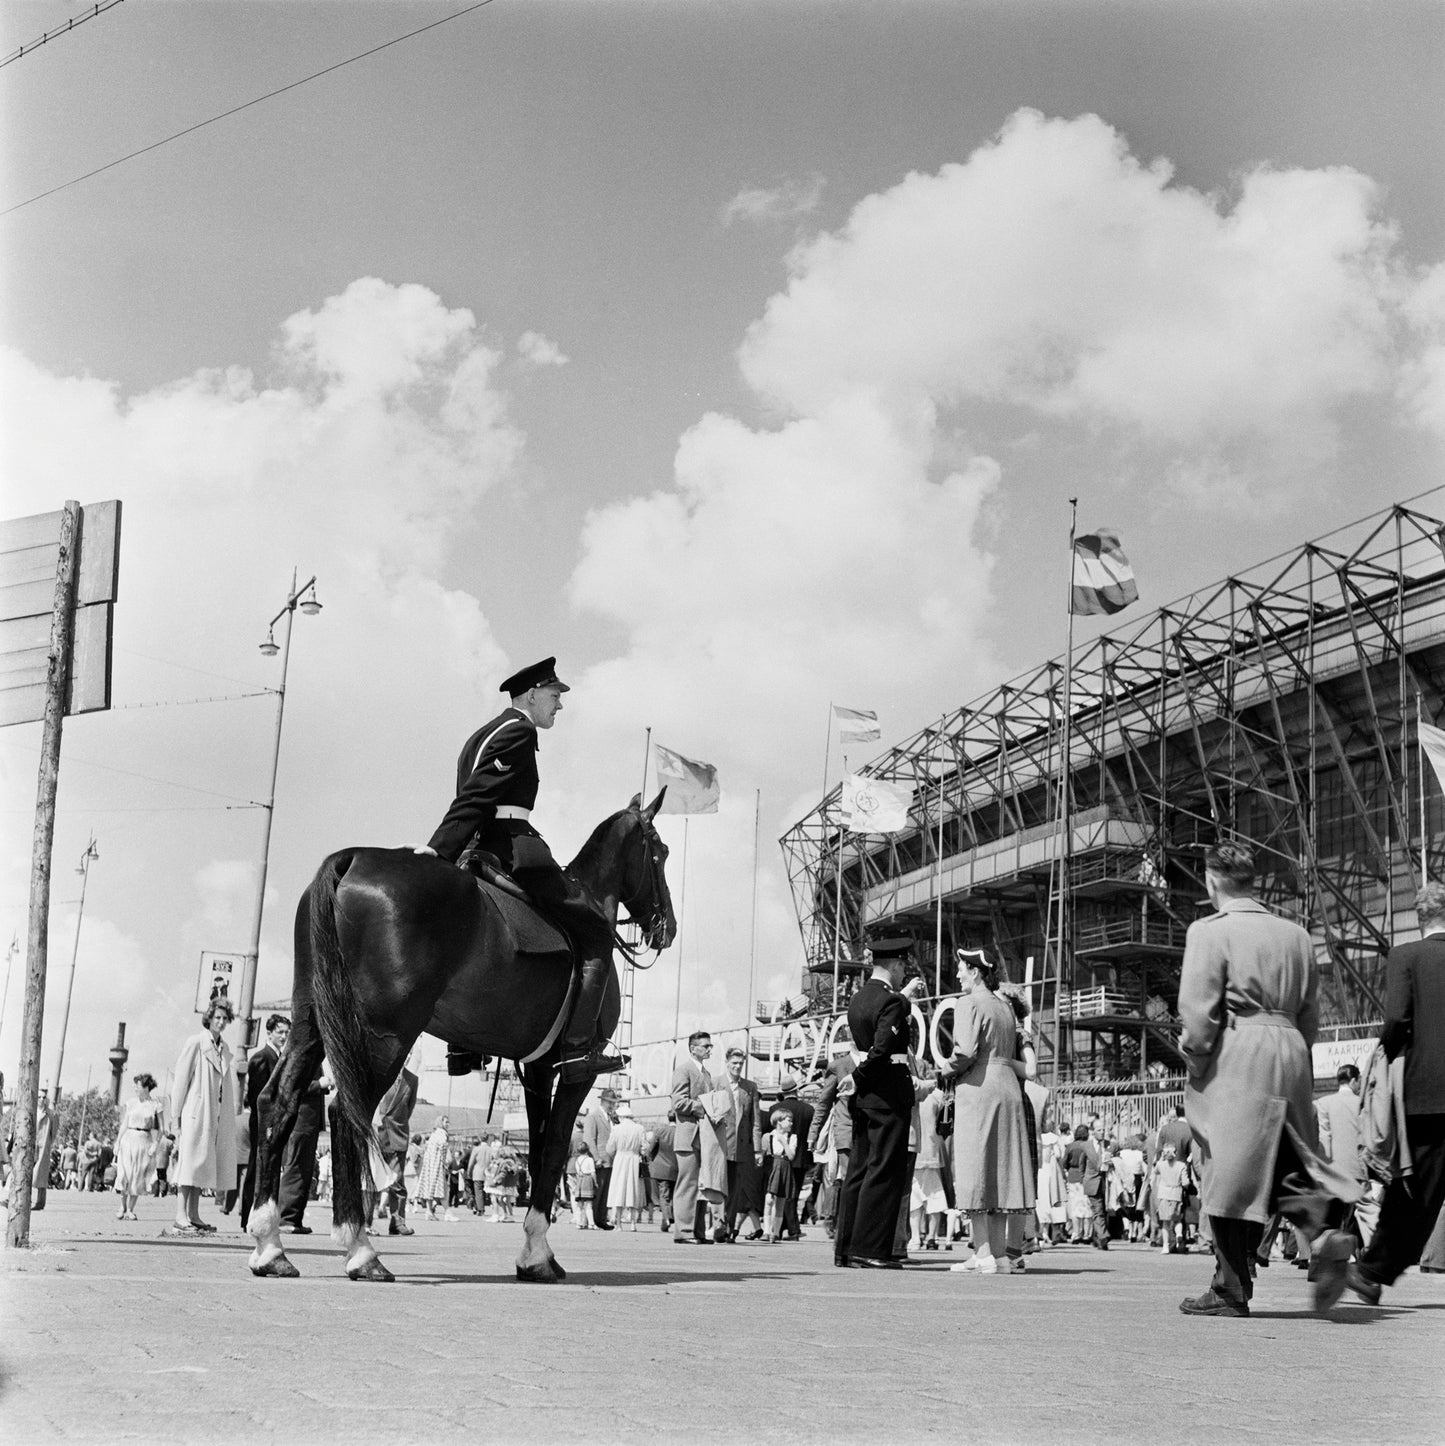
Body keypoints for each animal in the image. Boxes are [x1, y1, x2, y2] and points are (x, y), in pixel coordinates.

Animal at [248, 798, 676, 1284]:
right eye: (661, 852)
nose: (667, 927)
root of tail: (351, 858)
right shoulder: (572, 1073)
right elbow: (552, 1152)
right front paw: (538, 1254)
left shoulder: (537, 1068)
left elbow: (538, 1147)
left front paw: (534, 1253)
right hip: (386, 1034)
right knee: (345, 1112)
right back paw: (360, 1250)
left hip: (313, 1020)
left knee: (277, 1101)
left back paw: (269, 1246)